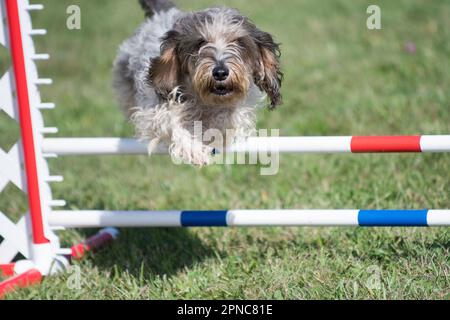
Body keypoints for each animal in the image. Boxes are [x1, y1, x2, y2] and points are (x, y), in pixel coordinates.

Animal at [112, 0, 282, 165]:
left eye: (239, 42)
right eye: (200, 42)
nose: (220, 72)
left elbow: (225, 120)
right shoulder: (154, 109)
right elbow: (170, 121)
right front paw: (193, 149)